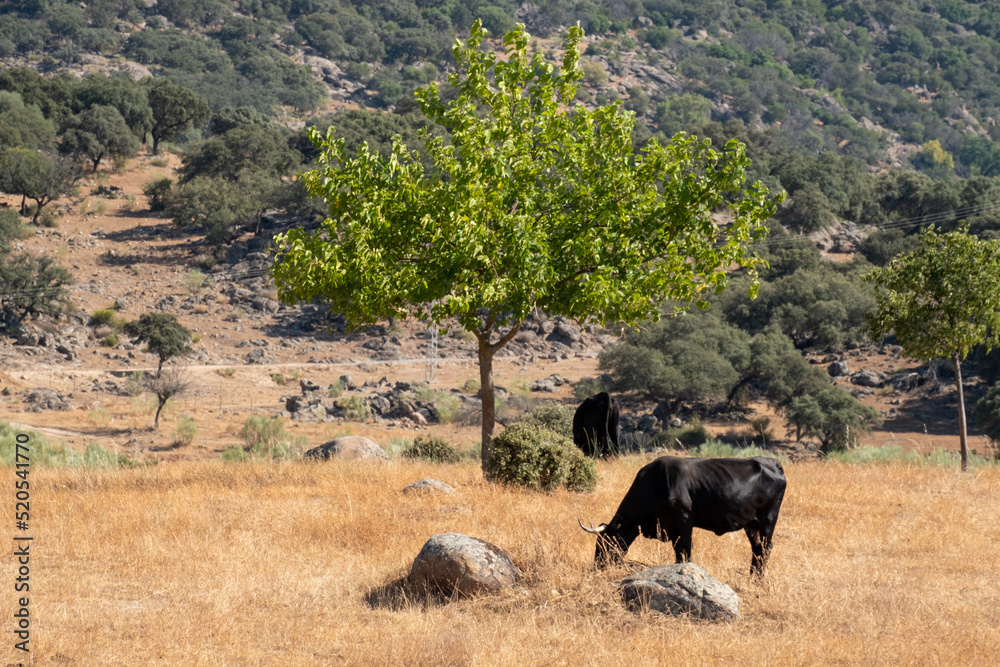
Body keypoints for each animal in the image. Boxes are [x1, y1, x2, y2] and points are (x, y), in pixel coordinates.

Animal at [579, 455, 786, 576]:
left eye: (605, 542)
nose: (597, 566)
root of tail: (773, 463)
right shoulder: (671, 528)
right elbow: (679, 552)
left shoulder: (684, 519)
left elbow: (685, 551)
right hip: (751, 525)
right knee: (757, 549)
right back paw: (753, 576)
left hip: (769, 520)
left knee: (765, 548)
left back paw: (759, 579)